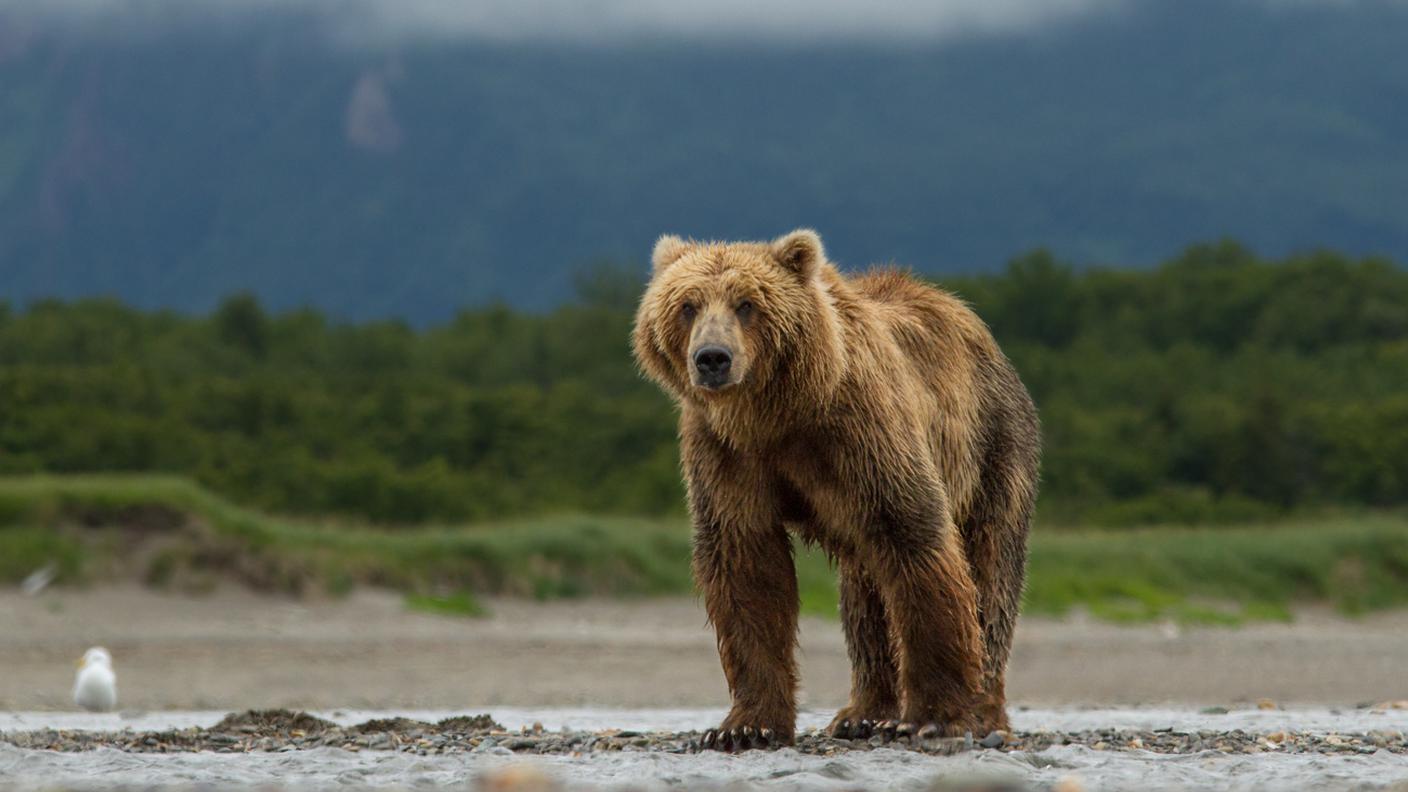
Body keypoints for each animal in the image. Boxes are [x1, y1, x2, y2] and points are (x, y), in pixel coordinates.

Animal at [633, 226, 1041, 744]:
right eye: (687, 304)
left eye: (747, 303)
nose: (712, 359)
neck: (776, 414)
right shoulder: (725, 453)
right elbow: (746, 564)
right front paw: (745, 726)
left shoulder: (860, 431)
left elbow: (915, 535)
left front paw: (934, 716)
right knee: (865, 598)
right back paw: (863, 712)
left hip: (992, 447)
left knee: (990, 571)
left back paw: (982, 709)